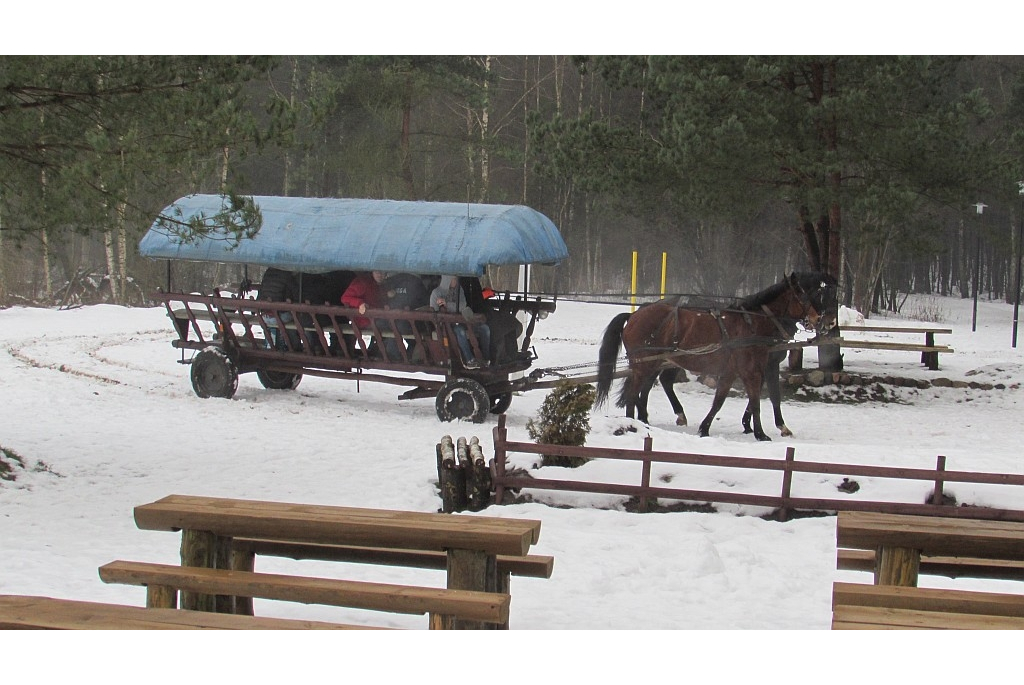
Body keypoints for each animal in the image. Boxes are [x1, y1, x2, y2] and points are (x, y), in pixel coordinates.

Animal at [598, 270, 835, 438]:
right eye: (804, 295)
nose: (822, 321)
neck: (752, 323)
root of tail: (635, 315)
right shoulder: (753, 370)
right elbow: (758, 400)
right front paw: (761, 433)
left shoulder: (732, 371)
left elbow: (719, 401)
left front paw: (705, 428)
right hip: (644, 365)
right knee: (634, 395)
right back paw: (634, 425)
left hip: (655, 363)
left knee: (644, 391)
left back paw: (646, 421)